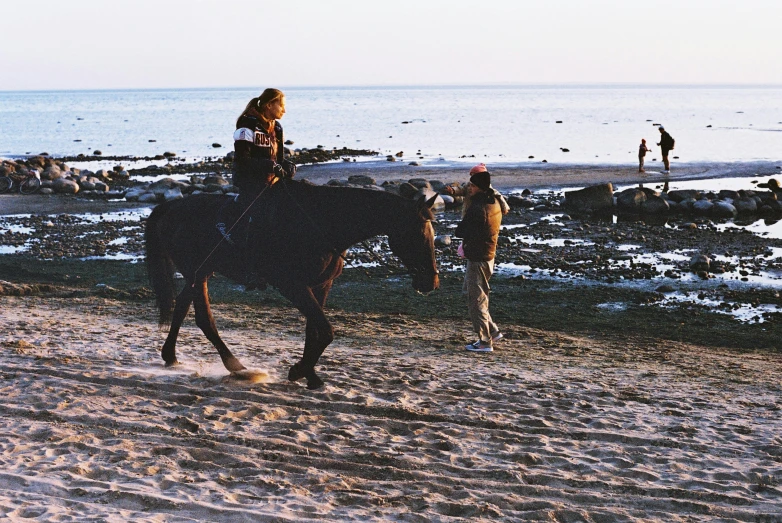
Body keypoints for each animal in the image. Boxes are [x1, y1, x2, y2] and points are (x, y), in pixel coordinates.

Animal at [145, 180, 440, 388]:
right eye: (418, 233)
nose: (431, 282)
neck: (322, 222)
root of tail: (171, 207)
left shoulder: (321, 286)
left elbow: (314, 331)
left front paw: (310, 375)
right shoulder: (292, 286)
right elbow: (327, 331)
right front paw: (299, 370)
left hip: (200, 272)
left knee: (182, 307)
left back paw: (171, 356)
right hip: (198, 273)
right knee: (204, 318)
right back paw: (234, 364)